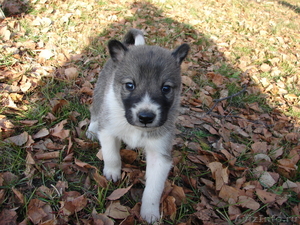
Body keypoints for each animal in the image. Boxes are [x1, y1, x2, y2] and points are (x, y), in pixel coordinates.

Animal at [86, 29, 189, 223]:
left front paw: (150, 212)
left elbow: (154, 189)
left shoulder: (159, 155)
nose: (146, 117)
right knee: (95, 112)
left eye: (166, 88)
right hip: (100, 92)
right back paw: (92, 129)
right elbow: (111, 155)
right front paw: (112, 172)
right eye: (130, 85)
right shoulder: (109, 132)